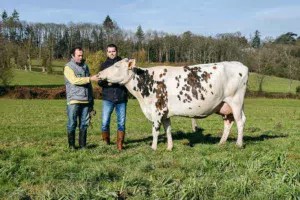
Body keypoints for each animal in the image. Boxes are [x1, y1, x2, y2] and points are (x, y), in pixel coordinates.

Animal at [98, 58, 248, 151]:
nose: (99, 73)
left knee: (240, 121)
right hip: (224, 105)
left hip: (236, 101)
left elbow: (155, 130)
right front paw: (170, 147)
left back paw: (239, 144)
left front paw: (153, 148)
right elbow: (168, 129)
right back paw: (221, 143)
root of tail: (241, 65)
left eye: (117, 65)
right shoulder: (165, 112)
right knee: (229, 122)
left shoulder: (157, 110)